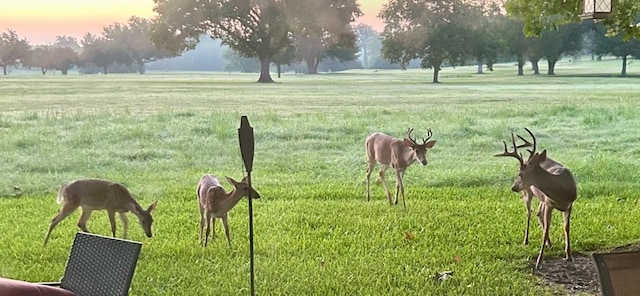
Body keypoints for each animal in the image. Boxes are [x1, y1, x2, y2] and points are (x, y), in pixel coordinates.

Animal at [492, 128, 576, 270]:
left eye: (520, 174)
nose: (513, 187)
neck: (560, 189)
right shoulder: (549, 203)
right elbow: (546, 229)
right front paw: (539, 261)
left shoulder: (569, 205)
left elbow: (566, 227)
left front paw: (568, 255)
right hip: (528, 192)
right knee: (529, 213)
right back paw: (526, 240)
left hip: (541, 198)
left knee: (538, 214)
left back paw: (549, 243)